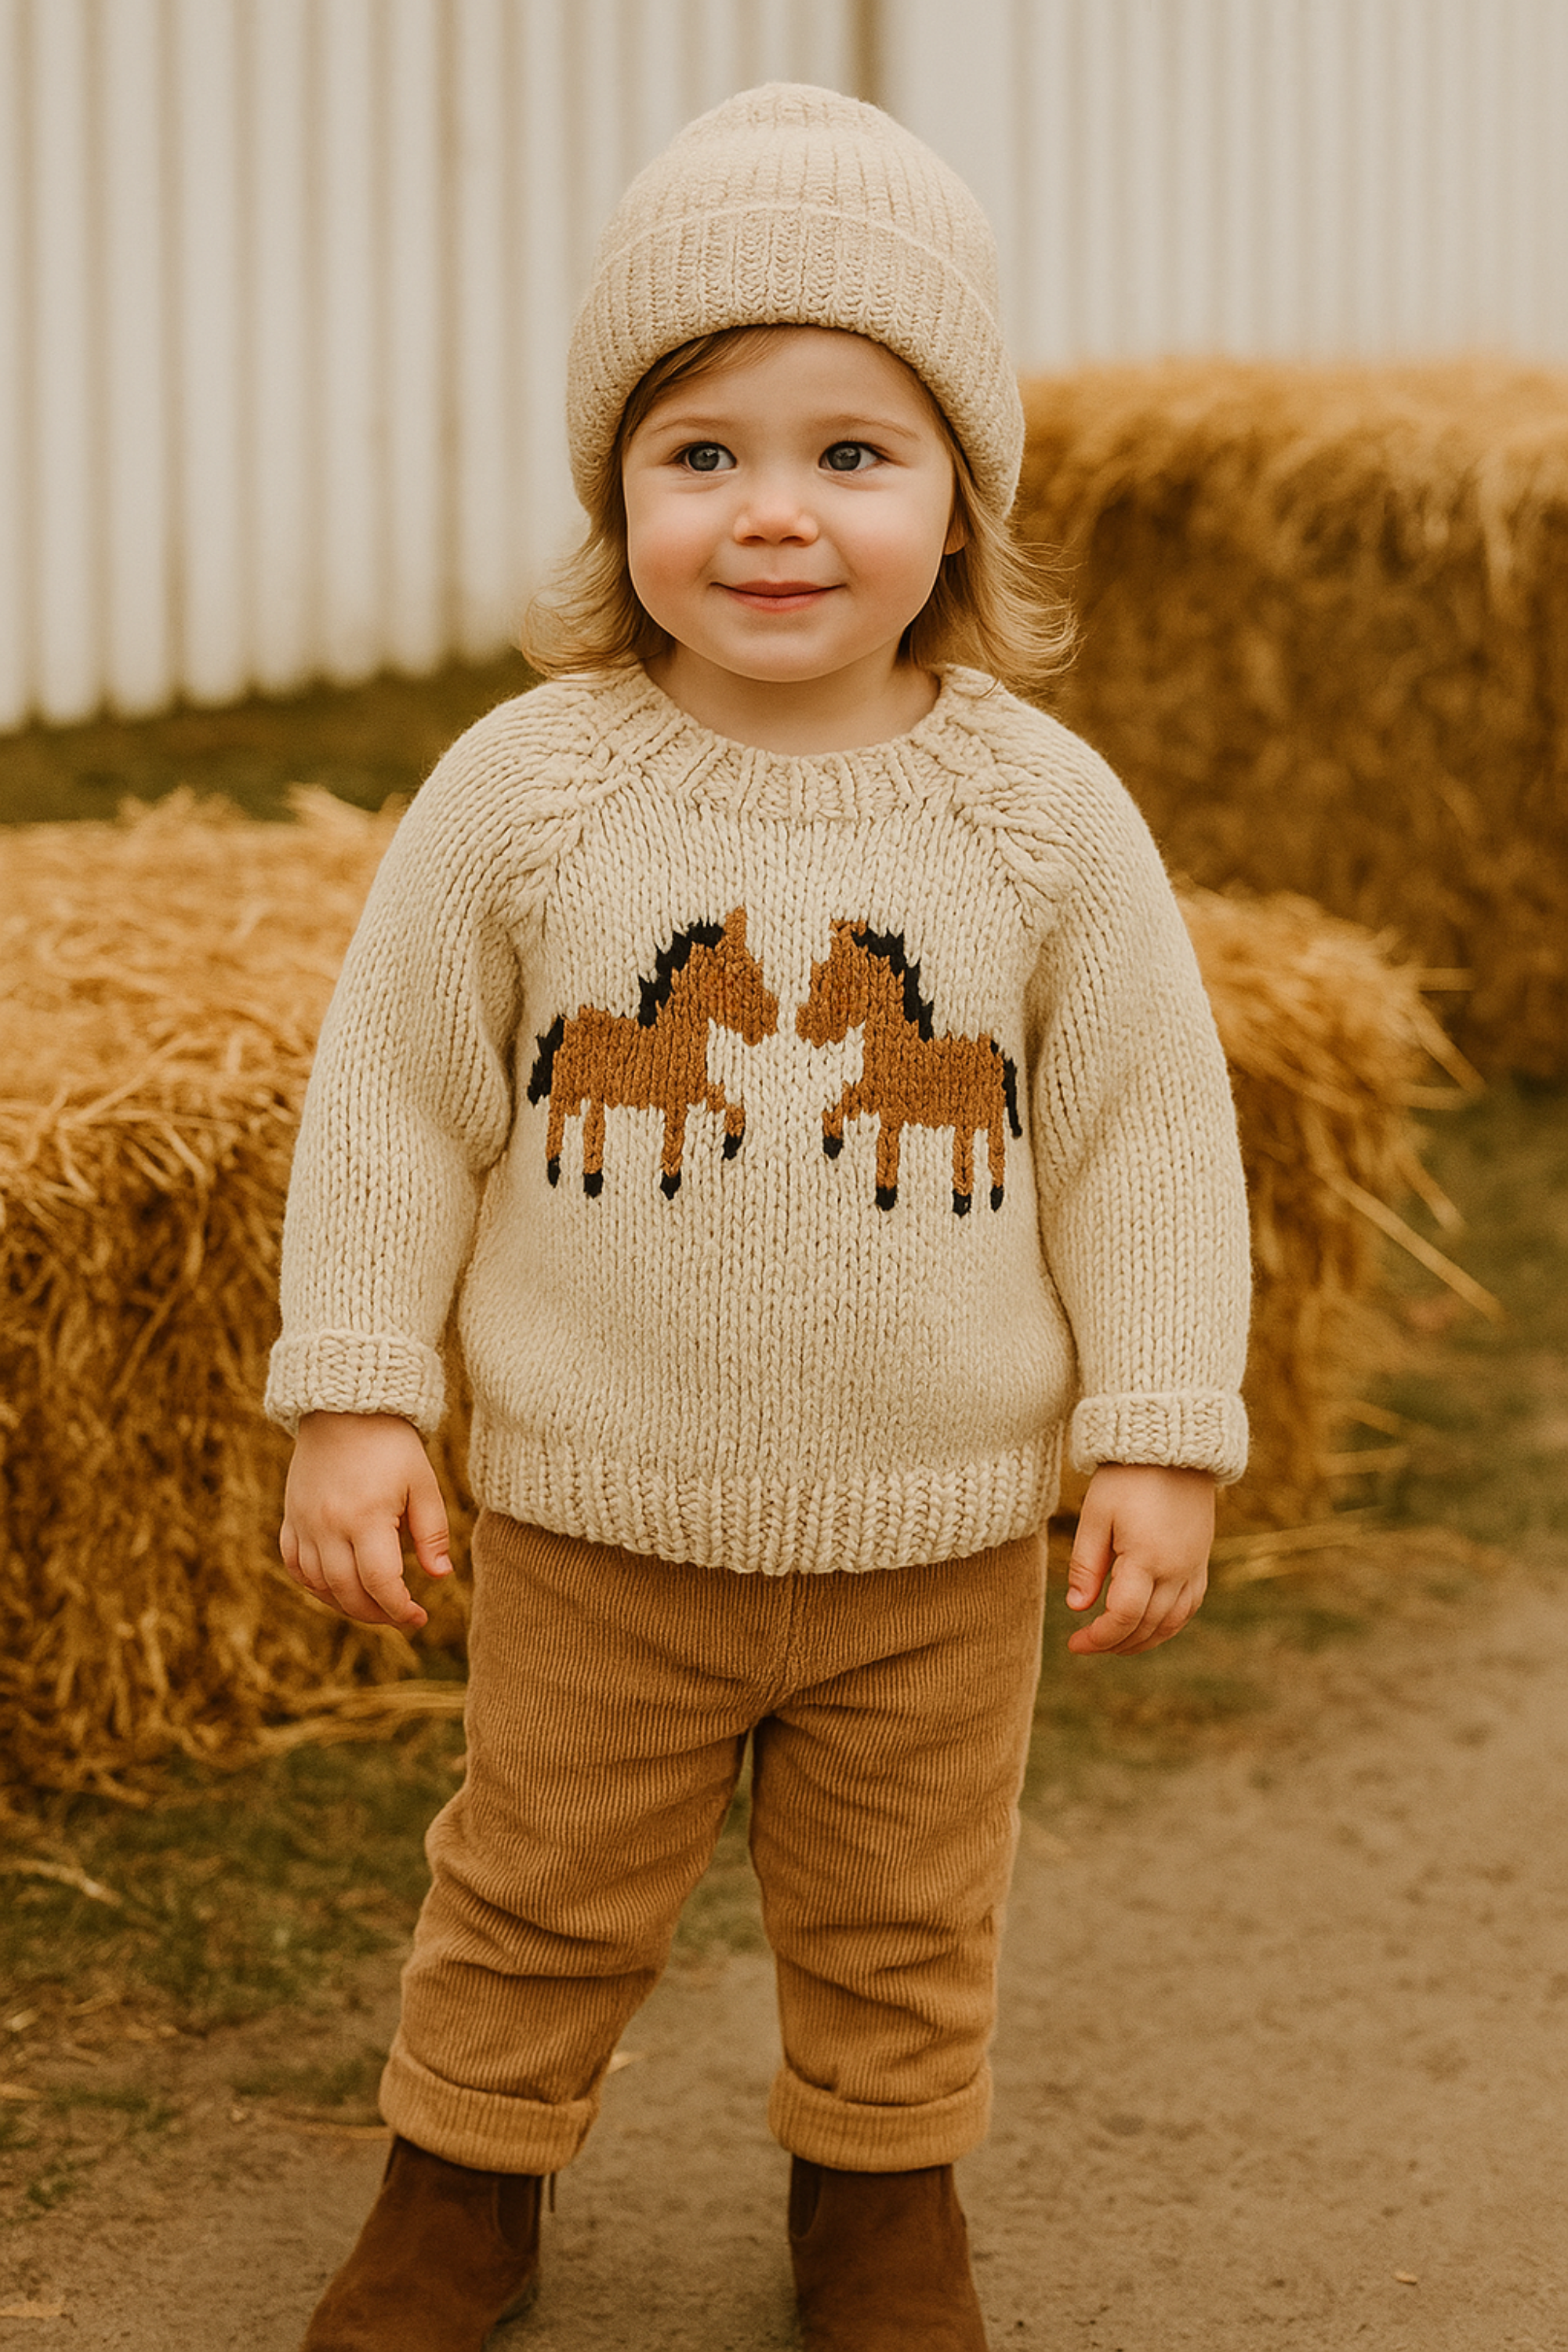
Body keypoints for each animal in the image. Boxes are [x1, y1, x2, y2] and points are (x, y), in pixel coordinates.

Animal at [526, 908, 778, 1197]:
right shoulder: (675, 1100)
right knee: (559, 1122)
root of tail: (565, 1025)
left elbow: (730, 1103)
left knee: (592, 1130)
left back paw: (591, 1178)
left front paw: (732, 1142)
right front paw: (670, 1182)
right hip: (567, 1090)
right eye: (740, 975)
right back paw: (558, 1170)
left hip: (593, 1095)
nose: (771, 1017)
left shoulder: (698, 1090)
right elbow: (675, 1139)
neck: (673, 1035)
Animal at [796, 921, 1022, 1214]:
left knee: (996, 1149)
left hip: (991, 1116)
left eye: (831, 975)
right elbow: (840, 1104)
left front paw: (885, 1193)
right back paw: (963, 1198)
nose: (804, 1024)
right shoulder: (870, 1095)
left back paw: (992, 1195)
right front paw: (833, 1142)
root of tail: (999, 1054)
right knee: (965, 1148)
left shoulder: (890, 1109)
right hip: (968, 1118)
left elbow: (886, 1148)